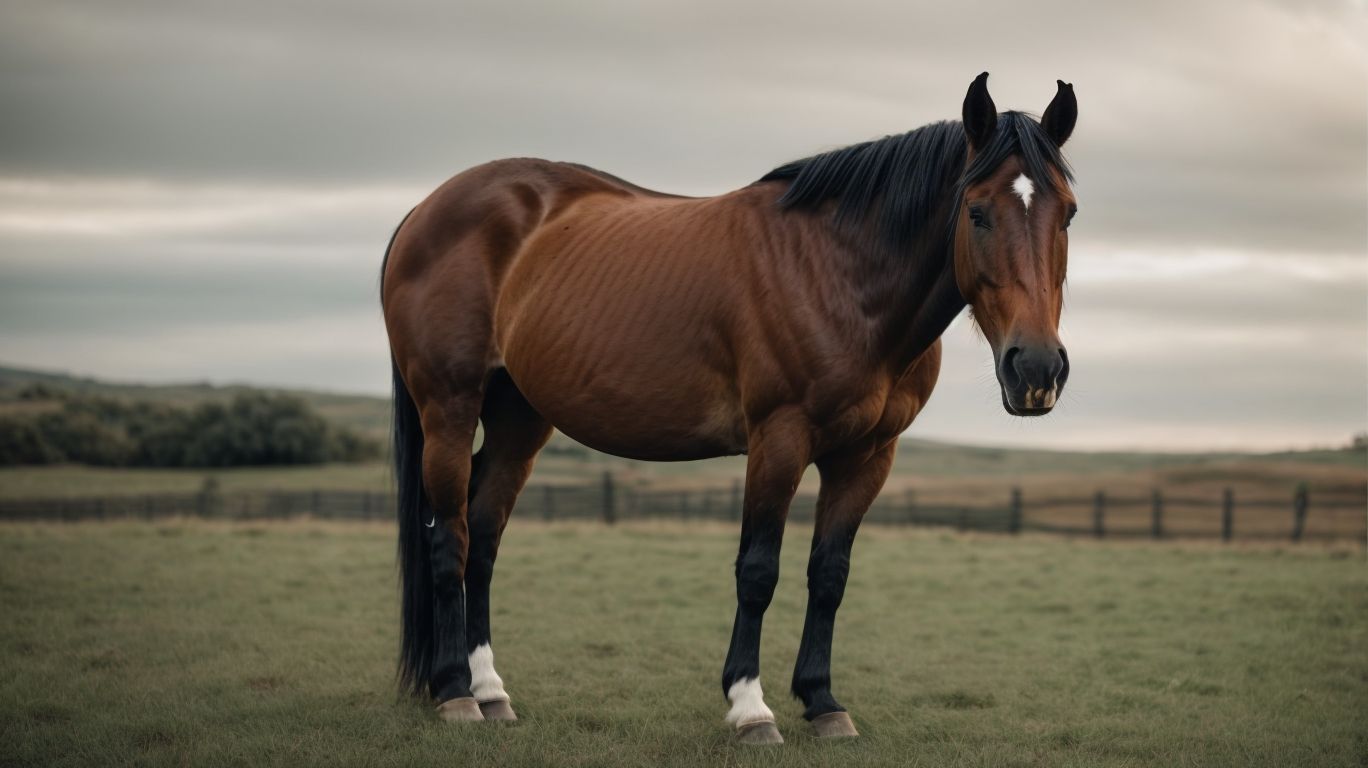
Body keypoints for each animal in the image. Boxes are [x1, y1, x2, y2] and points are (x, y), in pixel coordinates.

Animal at [380, 72, 1078, 743]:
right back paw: (455, 692)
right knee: (450, 541)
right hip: (448, 409)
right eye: (977, 212)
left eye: (1068, 214)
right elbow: (758, 571)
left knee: (484, 538)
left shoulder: (867, 456)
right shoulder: (779, 440)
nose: (1037, 369)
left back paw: (491, 691)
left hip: (518, 420)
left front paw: (823, 702)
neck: (841, 273)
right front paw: (750, 708)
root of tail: (427, 207)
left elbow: (830, 574)